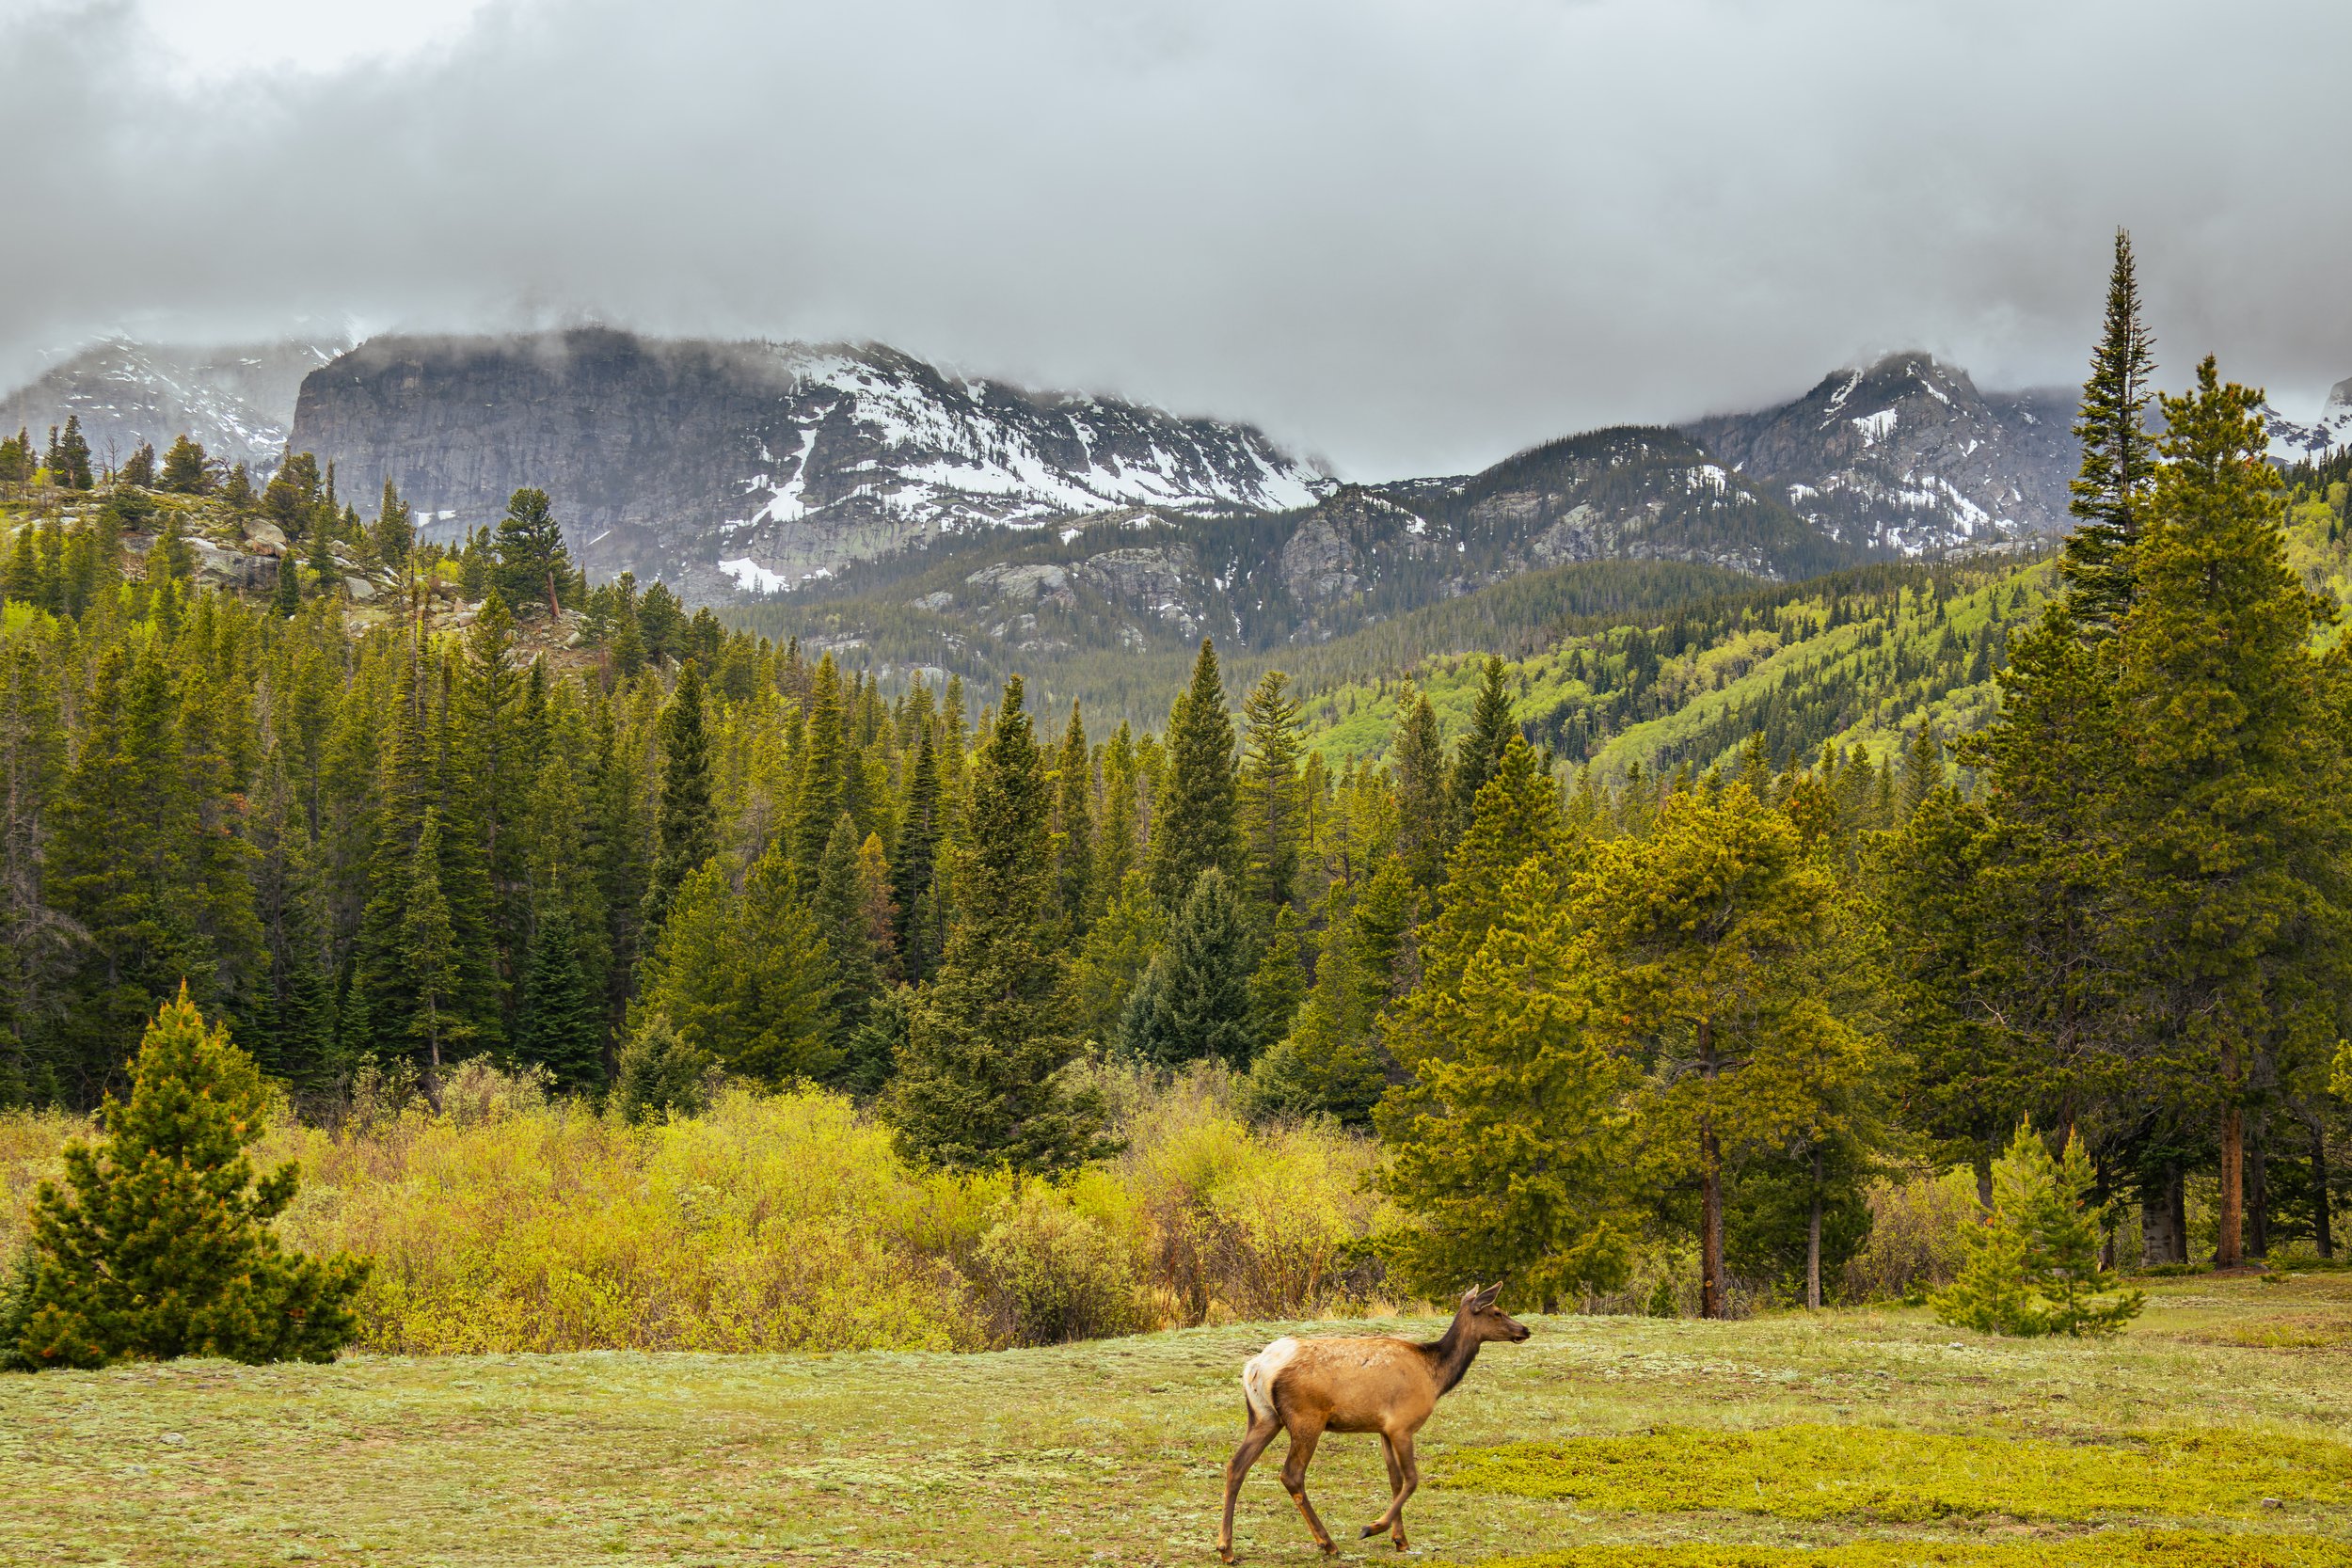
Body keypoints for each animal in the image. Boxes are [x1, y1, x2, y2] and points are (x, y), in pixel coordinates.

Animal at [1217, 1283, 1530, 1562]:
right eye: (1497, 1312)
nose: (1525, 1330)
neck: (1435, 1377)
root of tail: (1257, 1367)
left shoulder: (1383, 1429)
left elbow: (1395, 1480)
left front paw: (1400, 1539)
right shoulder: (1402, 1425)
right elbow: (1412, 1479)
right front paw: (1374, 1527)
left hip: (1264, 1417)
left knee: (1236, 1465)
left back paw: (1226, 1549)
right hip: (1306, 1418)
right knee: (1291, 1475)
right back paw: (1328, 1544)